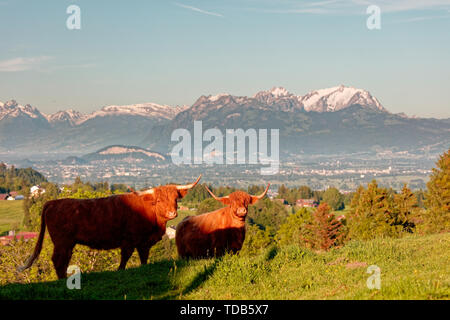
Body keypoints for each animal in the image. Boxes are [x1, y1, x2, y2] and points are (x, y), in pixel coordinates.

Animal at [17, 175, 200, 278]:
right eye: (159, 200)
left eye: (175, 199)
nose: (172, 213)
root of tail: (53, 202)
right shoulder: (129, 240)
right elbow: (125, 257)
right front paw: (120, 270)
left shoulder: (144, 242)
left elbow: (143, 258)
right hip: (62, 241)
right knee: (58, 260)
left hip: (67, 243)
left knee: (63, 259)